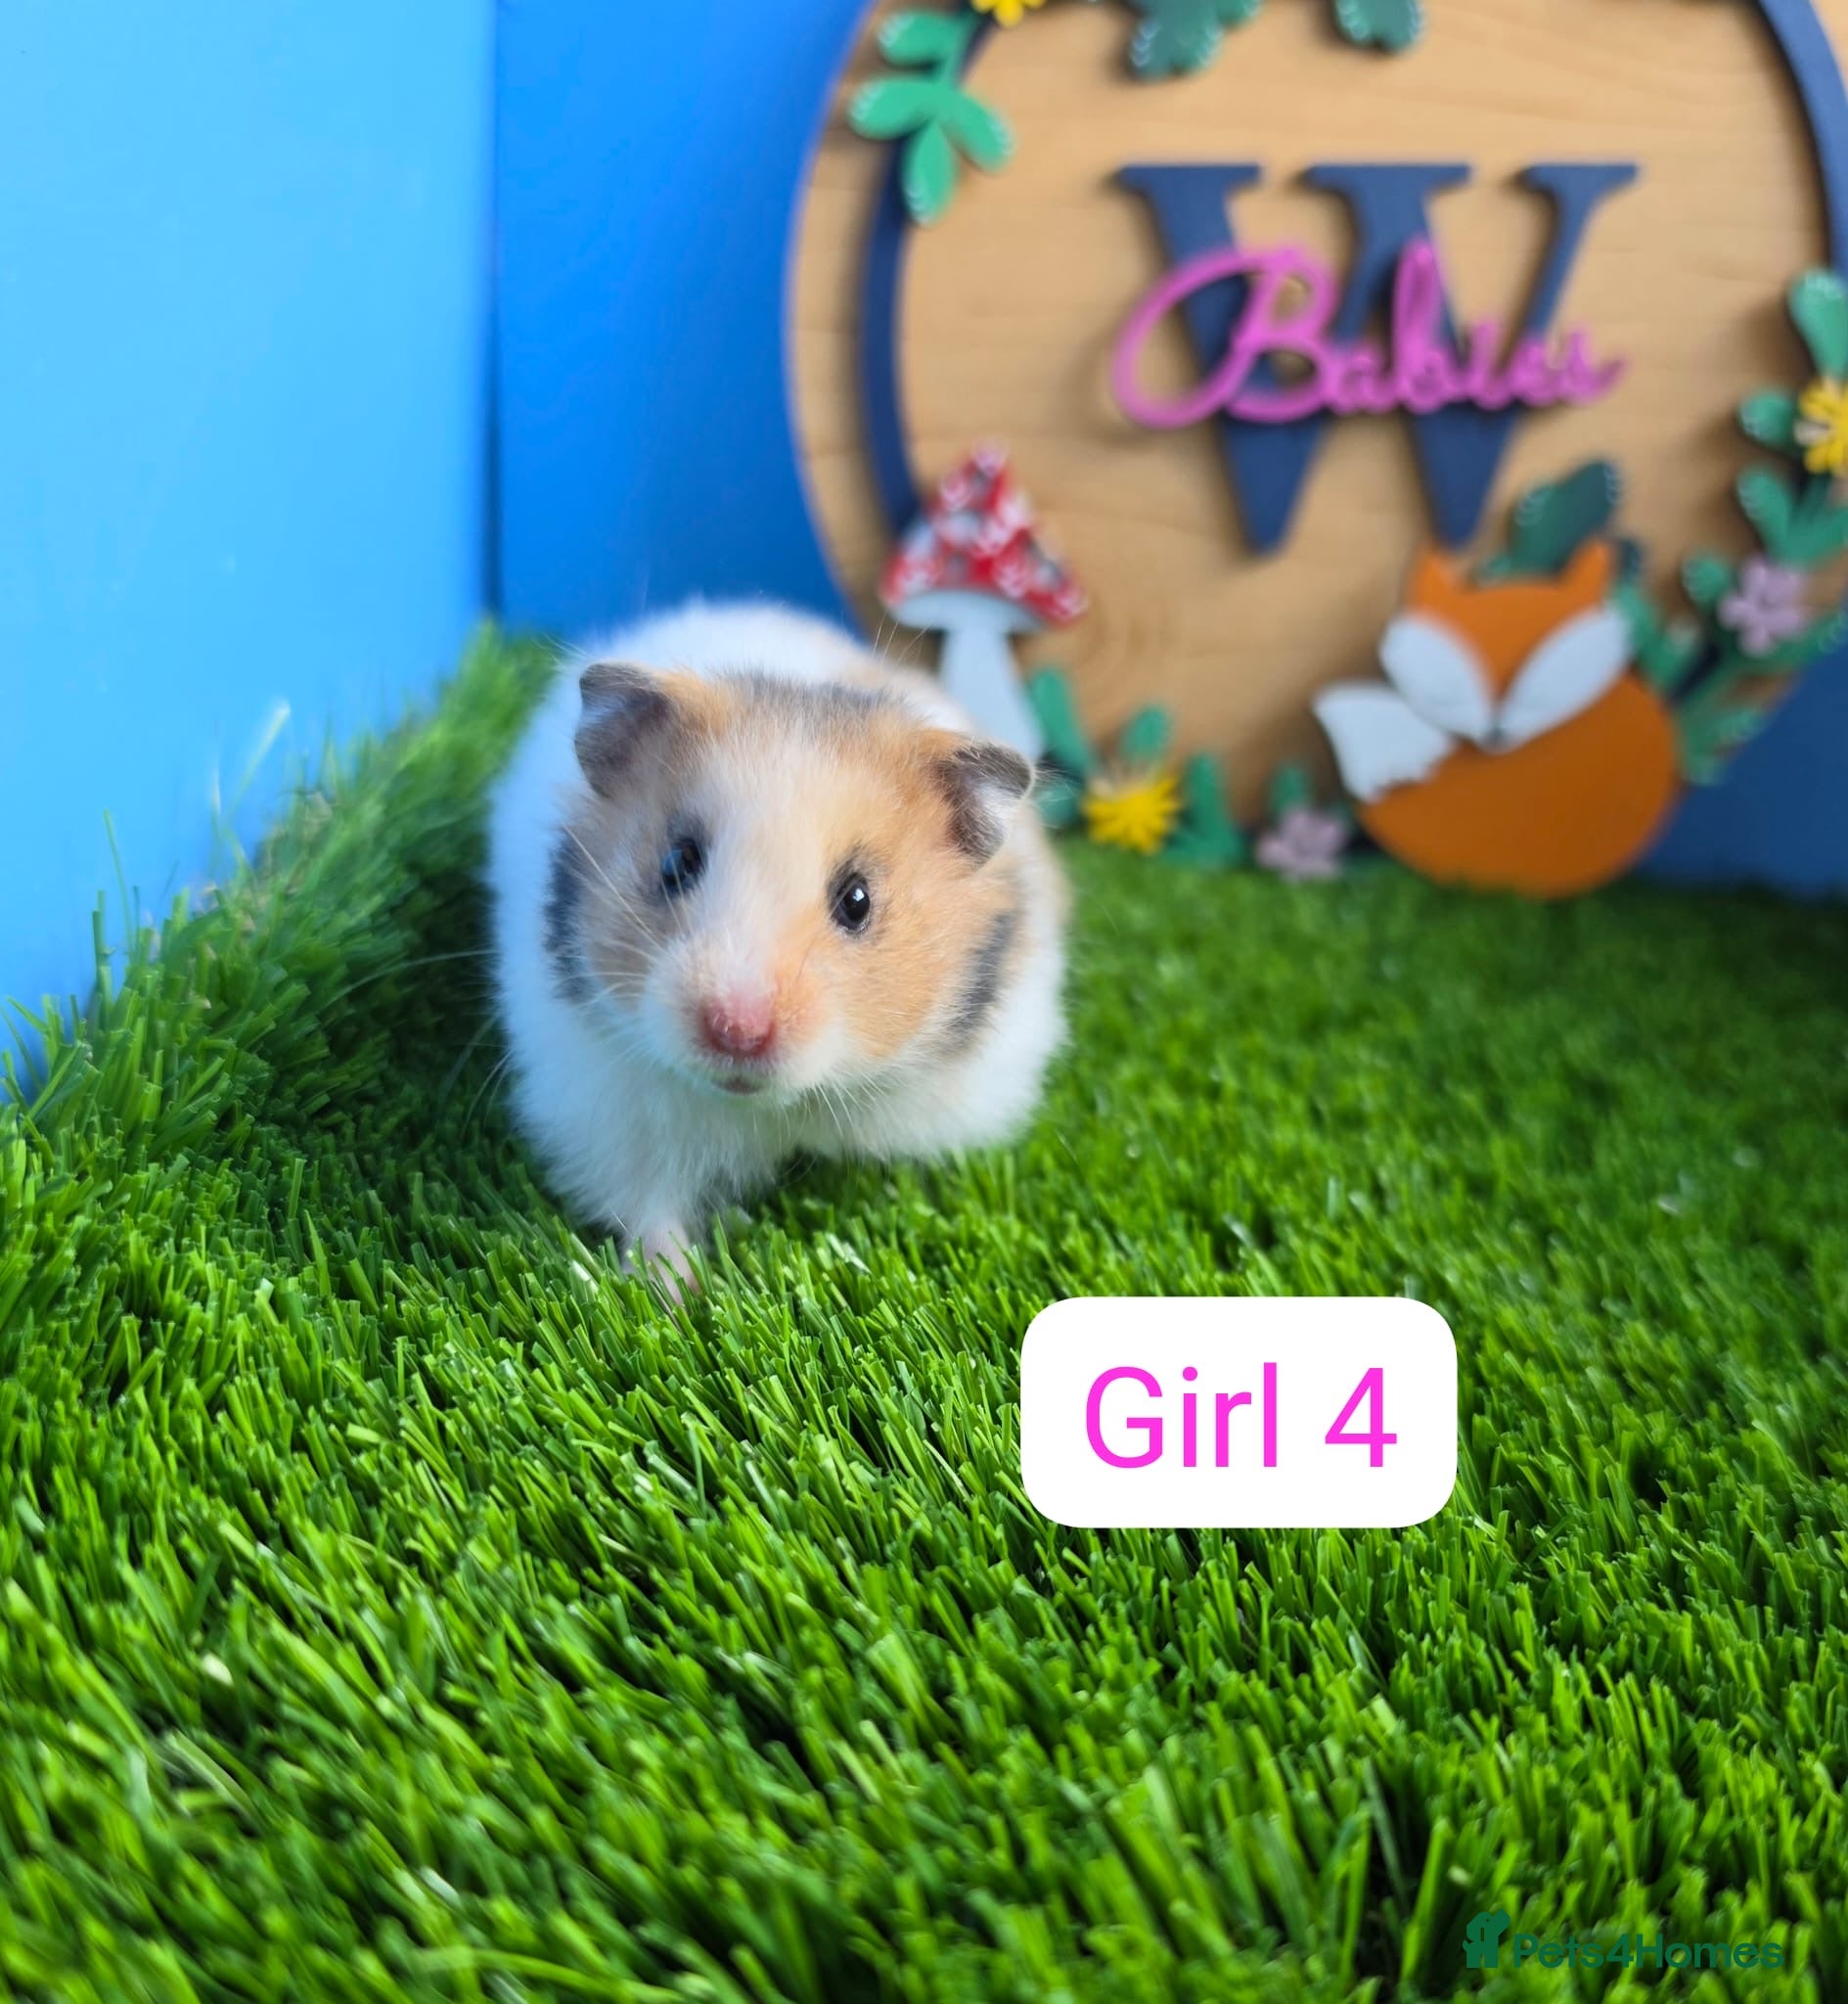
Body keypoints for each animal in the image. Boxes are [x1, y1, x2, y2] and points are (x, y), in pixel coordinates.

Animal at [486, 600, 1068, 1284]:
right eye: (676, 863)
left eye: (858, 900)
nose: (736, 1031)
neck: (778, 1105)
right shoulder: (612, 1117)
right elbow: (652, 1211)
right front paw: (675, 1293)